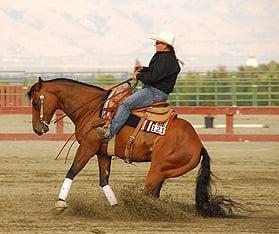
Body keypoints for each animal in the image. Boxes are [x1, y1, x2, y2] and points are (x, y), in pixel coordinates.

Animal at [26, 78, 238, 218]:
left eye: (36, 102)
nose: (37, 129)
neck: (94, 109)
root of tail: (199, 145)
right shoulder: (103, 154)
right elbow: (103, 181)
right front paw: (115, 207)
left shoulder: (87, 148)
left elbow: (72, 171)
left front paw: (60, 203)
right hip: (164, 172)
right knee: (153, 194)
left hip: (157, 169)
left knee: (149, 193)